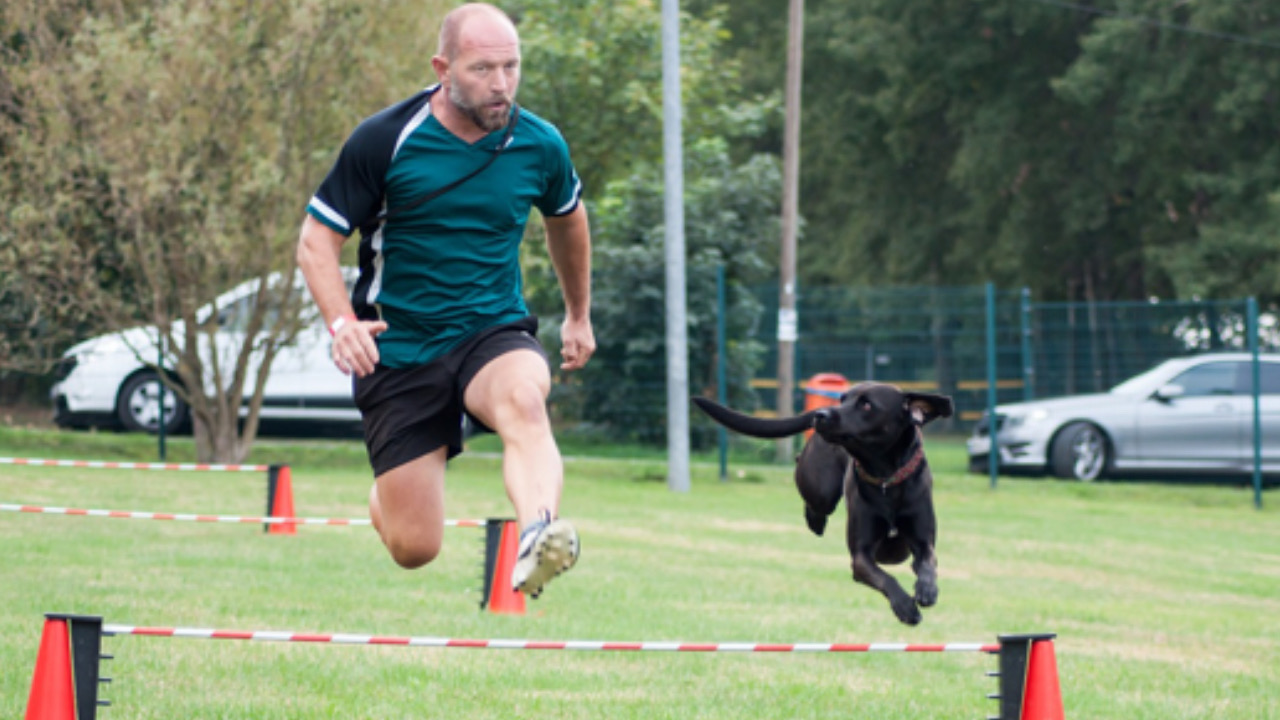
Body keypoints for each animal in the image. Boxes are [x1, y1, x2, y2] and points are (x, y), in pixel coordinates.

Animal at [691, 381, 952, 622]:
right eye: (843, 399)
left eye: (867, 404)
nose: (821, 414)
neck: (885, 478)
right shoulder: (861, 556)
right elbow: (885, 577)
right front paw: (905, 607)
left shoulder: (922, 541)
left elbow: (928, 562)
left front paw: (927, 589)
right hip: (821, 490)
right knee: (811, 492)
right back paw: (815, 521)